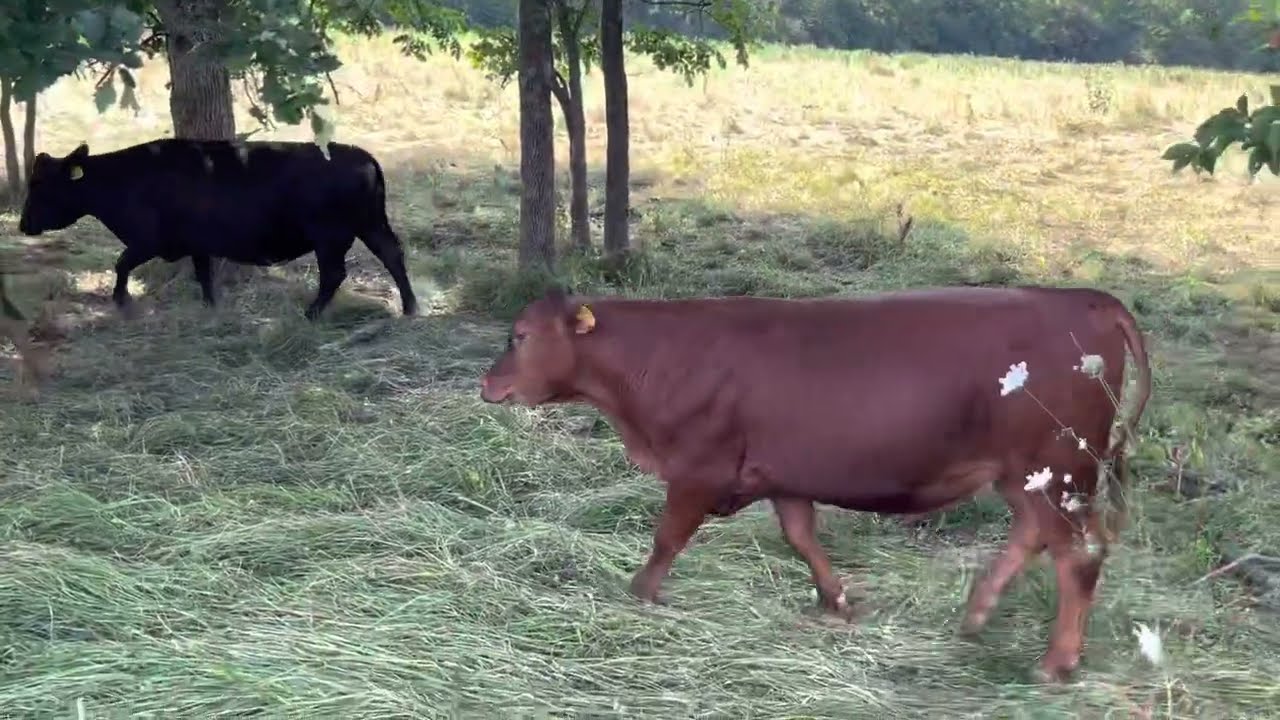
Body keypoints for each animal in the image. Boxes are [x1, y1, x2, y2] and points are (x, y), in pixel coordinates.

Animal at [17, 139, 418, 320]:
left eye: (39, 185)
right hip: (371, 224)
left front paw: (122, 300)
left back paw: (311, 313)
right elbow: (203, 274)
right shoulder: (196, 243)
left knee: (334, 273)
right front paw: (211, 307)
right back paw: (411, 306)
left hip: (330, 235)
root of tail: (364, 157)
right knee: (393, 255)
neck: (123, 181)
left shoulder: (148, 240)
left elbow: (121, 263)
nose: (22, 224)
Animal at [478, 285, 1152, 683]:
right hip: (1026, 475)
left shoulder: (698, 469)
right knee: (1033, 537)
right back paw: (976, 615)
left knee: (1078, 556)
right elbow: (802, 538)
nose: (488, 384)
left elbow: (667, 539)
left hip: (1060, 469)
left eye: (520, 335)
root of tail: (1084, 296)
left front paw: (637, 594)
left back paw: (1056, 662)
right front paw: (838, 601)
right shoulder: (785, 474)